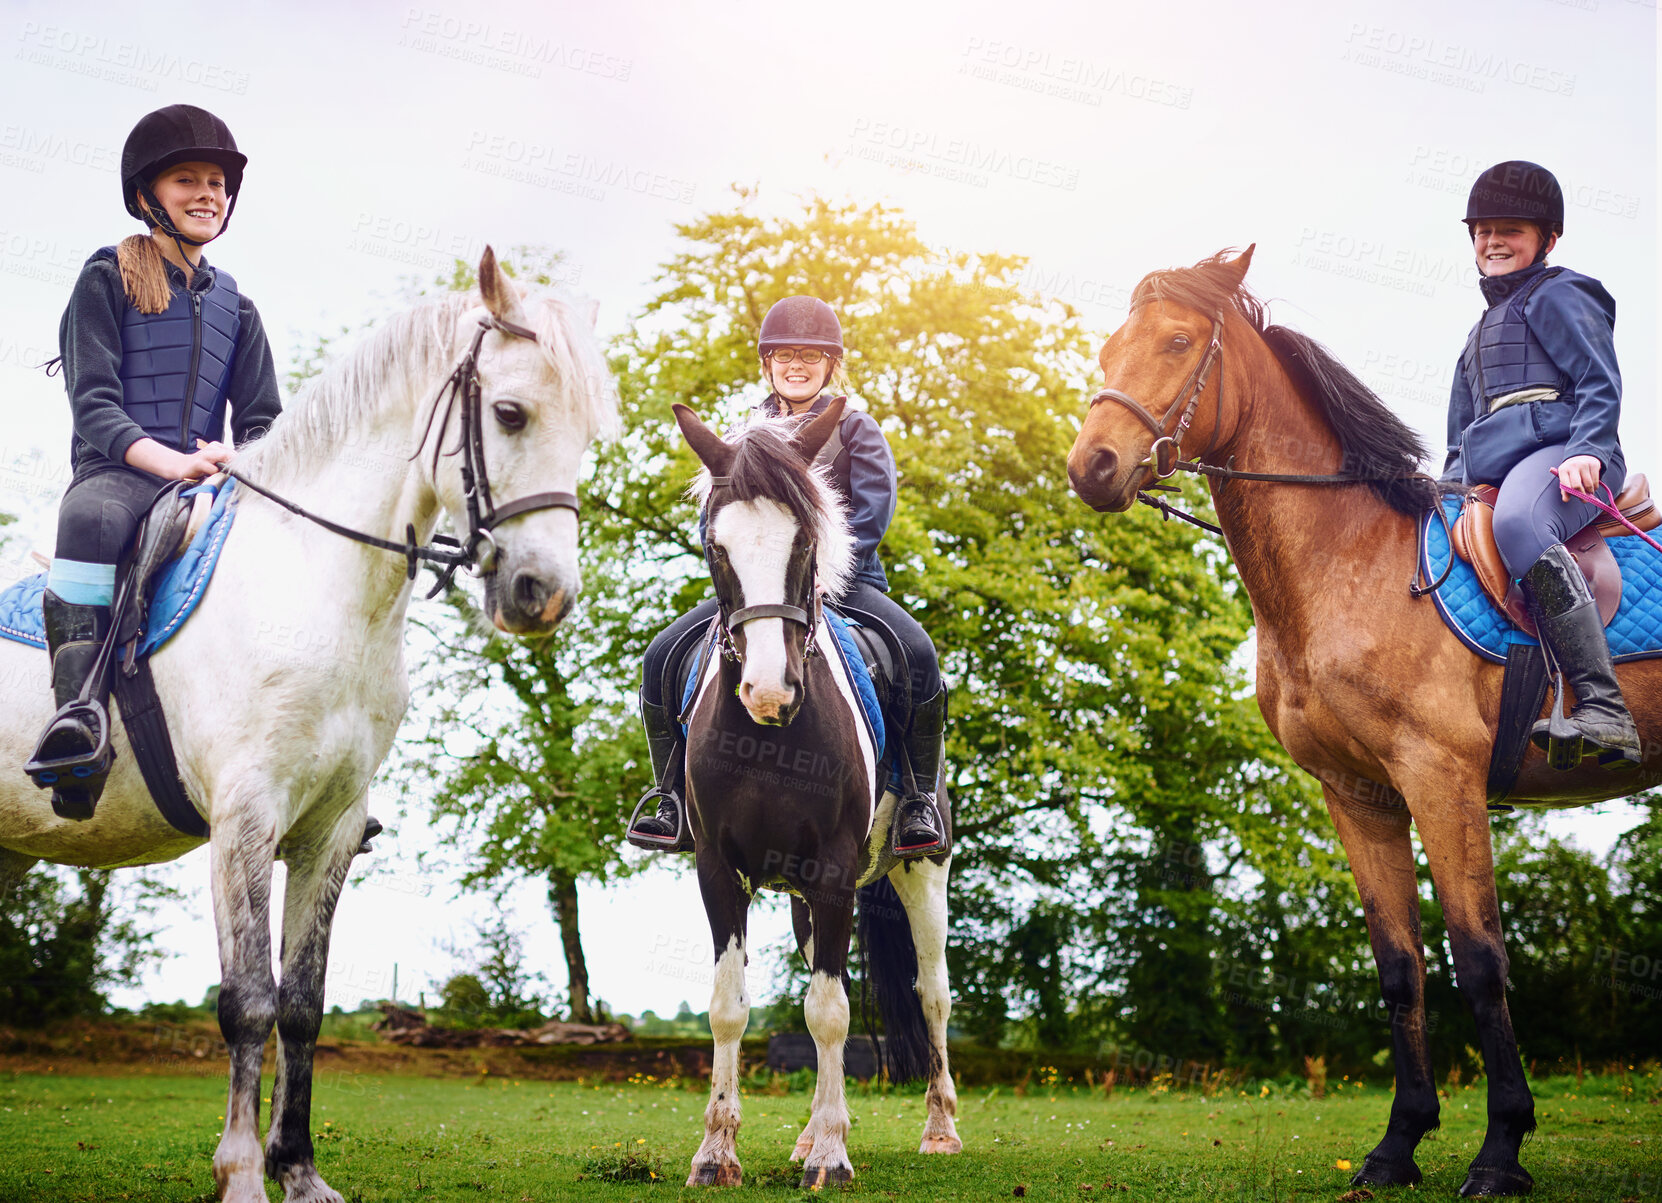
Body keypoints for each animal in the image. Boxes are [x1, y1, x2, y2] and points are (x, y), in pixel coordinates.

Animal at [0, 245, 618, 1203]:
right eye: (511, 413)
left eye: (590, 433)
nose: (541, 595)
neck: (321, 587)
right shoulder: (246, 821)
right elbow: (248, 998)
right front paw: (242, 1172)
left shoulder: (328, 831)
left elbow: (300, 1003)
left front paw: (296, 1168)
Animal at [671, 402, 963, 1183]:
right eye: (715, 546)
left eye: (806, 539)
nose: (769, 691)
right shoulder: (717, 870)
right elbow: (729, 1005)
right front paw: (716, 1153)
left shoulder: (833, 870)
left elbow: (829, 1012)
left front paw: (832, 1155)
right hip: (805, 900)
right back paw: (803, 1135)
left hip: (923, 872)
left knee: (933, 994)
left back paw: (939, 1129)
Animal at [1070, 245, 1655, 1196]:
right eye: (1109, 346)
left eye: (1177, 342)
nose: (1092, 466)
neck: (1349, 556)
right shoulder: (1359, 795)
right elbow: (1399, 968)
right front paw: (1397, 1144)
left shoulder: (1441, 781)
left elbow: (1480, 962)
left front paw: (1501, 1151)